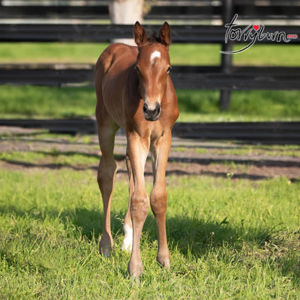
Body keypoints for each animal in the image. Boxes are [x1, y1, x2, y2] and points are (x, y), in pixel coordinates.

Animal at [94, 21, 178, 278]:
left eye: (169, 69)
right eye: (138, 69)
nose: (150, 110)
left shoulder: (163, 138)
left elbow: (158, 197)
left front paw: (164, 260)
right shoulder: (137, 137)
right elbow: (140, 201)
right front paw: (135, 268)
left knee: (130, 170)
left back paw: (128, 238)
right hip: (106, 123)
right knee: (107, 174)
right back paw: (106, 245)